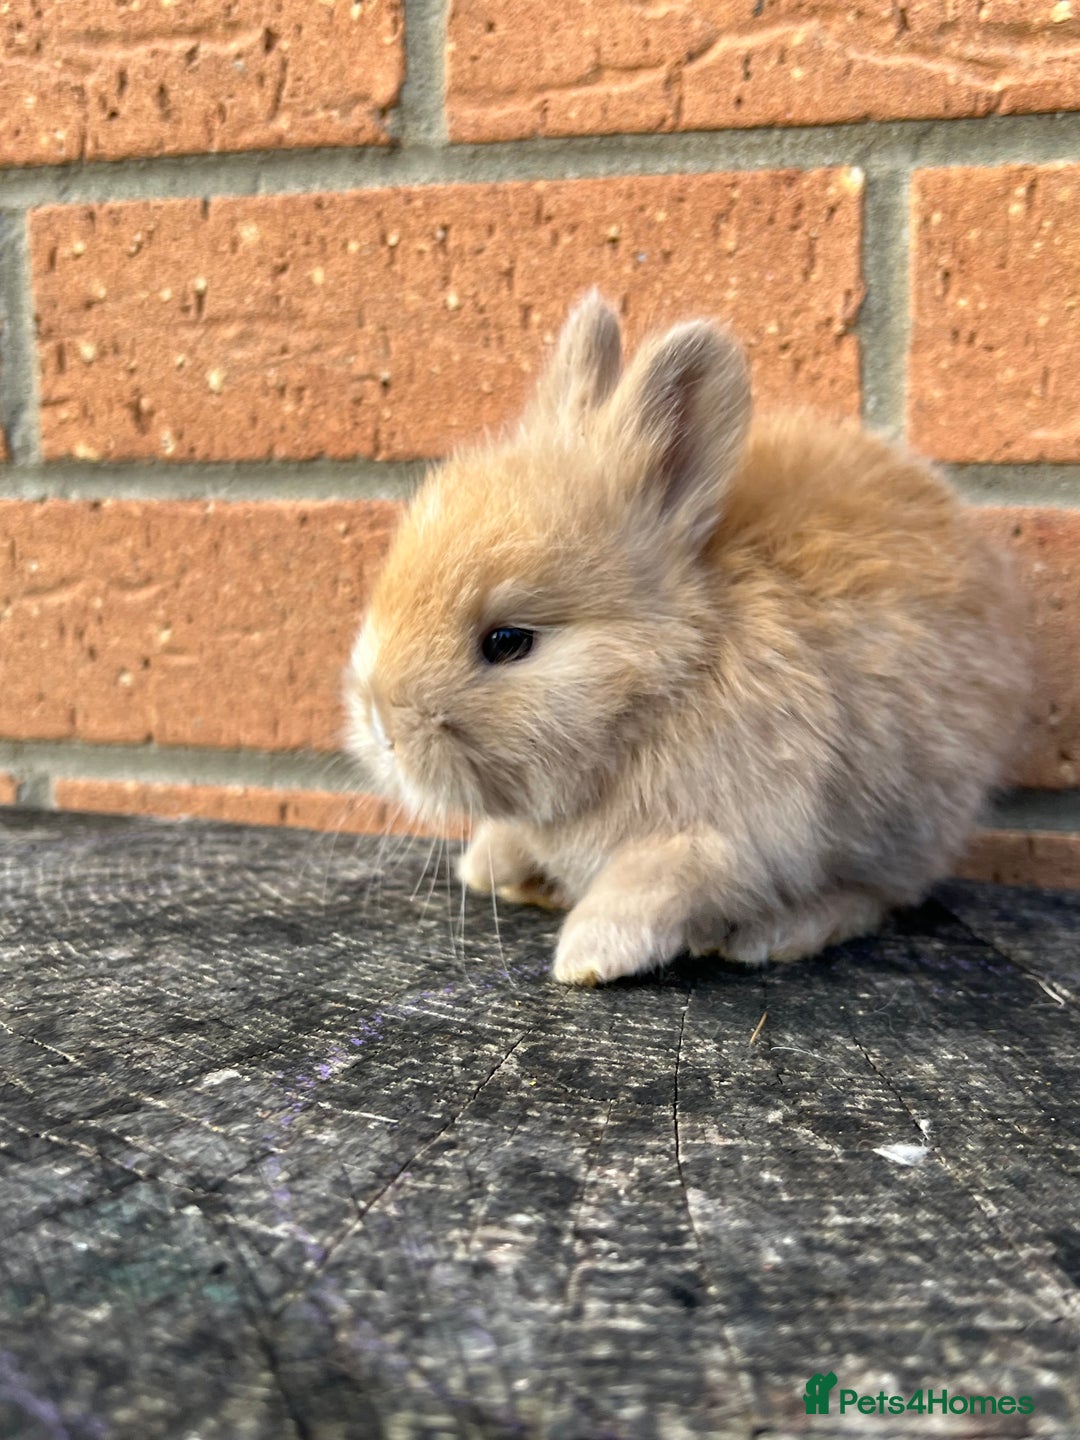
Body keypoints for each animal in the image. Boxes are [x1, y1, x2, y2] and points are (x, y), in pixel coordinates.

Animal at [345, 290, 1029, 986]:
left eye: (508, 641)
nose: (382, 727)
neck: (662, 686)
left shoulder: (722, 838)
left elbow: (647, 887)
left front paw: (588, 958)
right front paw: (487, 867)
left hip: (903, 820)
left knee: (875, 895)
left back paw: (775, 935)